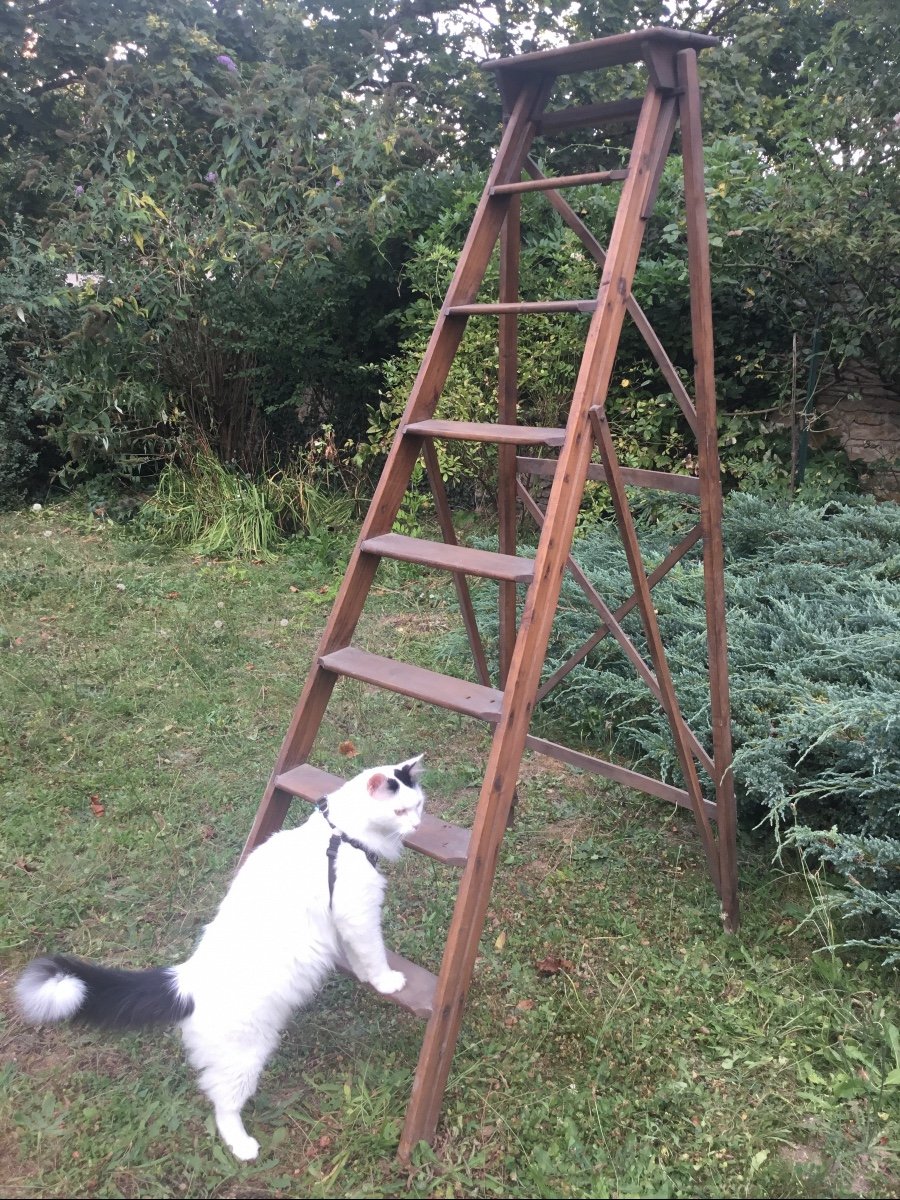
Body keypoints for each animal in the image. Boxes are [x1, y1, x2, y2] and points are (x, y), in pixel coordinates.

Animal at [15, 753, 427, 1156]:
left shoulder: (345, 921)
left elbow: (358, 956)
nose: (418, 825)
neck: (339, 836)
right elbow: (373, 952)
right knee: (222, 1106)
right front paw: (387, 981)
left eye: (419, 805)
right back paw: (244, 1147)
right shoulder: (358, 913)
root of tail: (184, 982)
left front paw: (367, 976)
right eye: (401, 811)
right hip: (245, 1058)